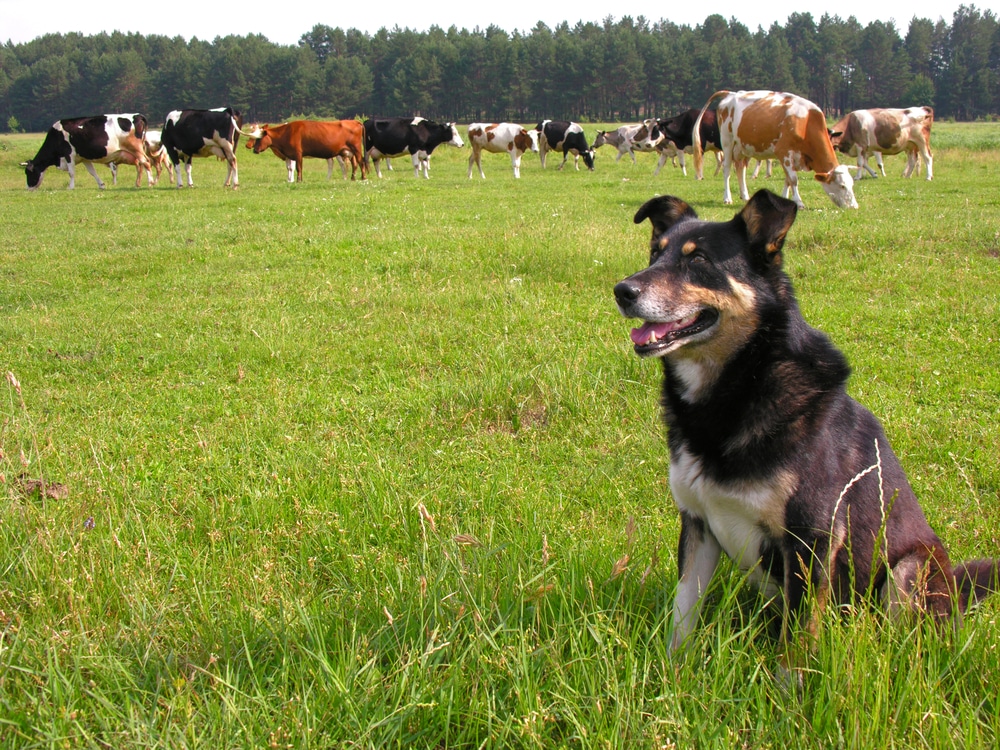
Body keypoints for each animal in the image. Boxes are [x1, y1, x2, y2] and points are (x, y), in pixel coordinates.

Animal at [22, 114, 152, 192]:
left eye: (28, 172)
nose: (28, 188)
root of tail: (137, 115)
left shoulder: (68, 154)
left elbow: (71, 173)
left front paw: (71, 187)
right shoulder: (84, 158)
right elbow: (92, 172)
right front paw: (101, 185)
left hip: (136, 149)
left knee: (146, 162)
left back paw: (150, 182)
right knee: (141, 165)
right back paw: (138, 184)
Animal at [612, 189, 996, 664]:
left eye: (698, 259)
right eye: (655, 254)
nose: (622, 291)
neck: (741, 384)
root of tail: (958, 591)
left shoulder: (812, 540)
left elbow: (796, 643)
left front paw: (791, 684)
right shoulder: (698, 523)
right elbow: (683, 613)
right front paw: (673, 672)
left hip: (910, 569)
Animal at [696, 90, 860, 210]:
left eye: (852, 184)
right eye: (842, 186)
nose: (854, 206)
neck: (805, 121)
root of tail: (731, 94)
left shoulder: (792, 157)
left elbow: (787, 179)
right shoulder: (784, 152)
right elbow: (793, 179)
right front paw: (799, 202)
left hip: (742, 147)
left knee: (740, 169)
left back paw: (745, 195)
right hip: (727, 143)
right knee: (727, 170)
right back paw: (727, 198)